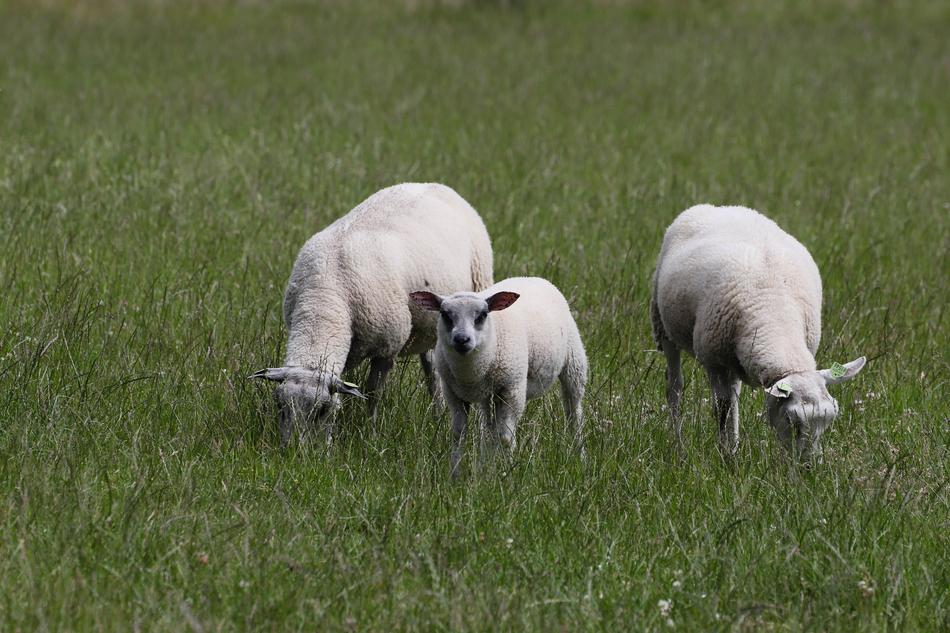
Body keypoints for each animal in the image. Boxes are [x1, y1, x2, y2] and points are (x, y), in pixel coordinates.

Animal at [251, 183, 494, 446]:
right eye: (280, 405)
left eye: (321, 410)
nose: (293, 450)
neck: (324, 300)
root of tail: (435, 185)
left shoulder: (388, 347)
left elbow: (372, 393)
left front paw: (371, 432)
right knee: (432, 371)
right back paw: (438, 414)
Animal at [410, 277, 588, 476]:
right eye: (445, 314)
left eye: (482, 315)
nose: (462, 340)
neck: (470, 373)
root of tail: (532, 277)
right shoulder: (453, 393)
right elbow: (458, 434)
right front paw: (456, 475)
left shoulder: (512, 389)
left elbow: (505, 437)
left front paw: (506, 473)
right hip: (489, 395)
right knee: (489, 427)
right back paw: (485, 466)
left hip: (574, 363)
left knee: (574, 413)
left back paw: (580, 457)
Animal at [650, 204, 866, 462]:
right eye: (791, 419)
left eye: (830, 419)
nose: (809, 467)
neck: (774, 311)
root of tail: (721, 207)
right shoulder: (714, 362)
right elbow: (721, 409)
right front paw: (725, 458)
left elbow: (730, 405)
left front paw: (732, 452)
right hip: (663, 325)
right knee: (675, 386)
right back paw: (679, 445)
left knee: (733, 395)